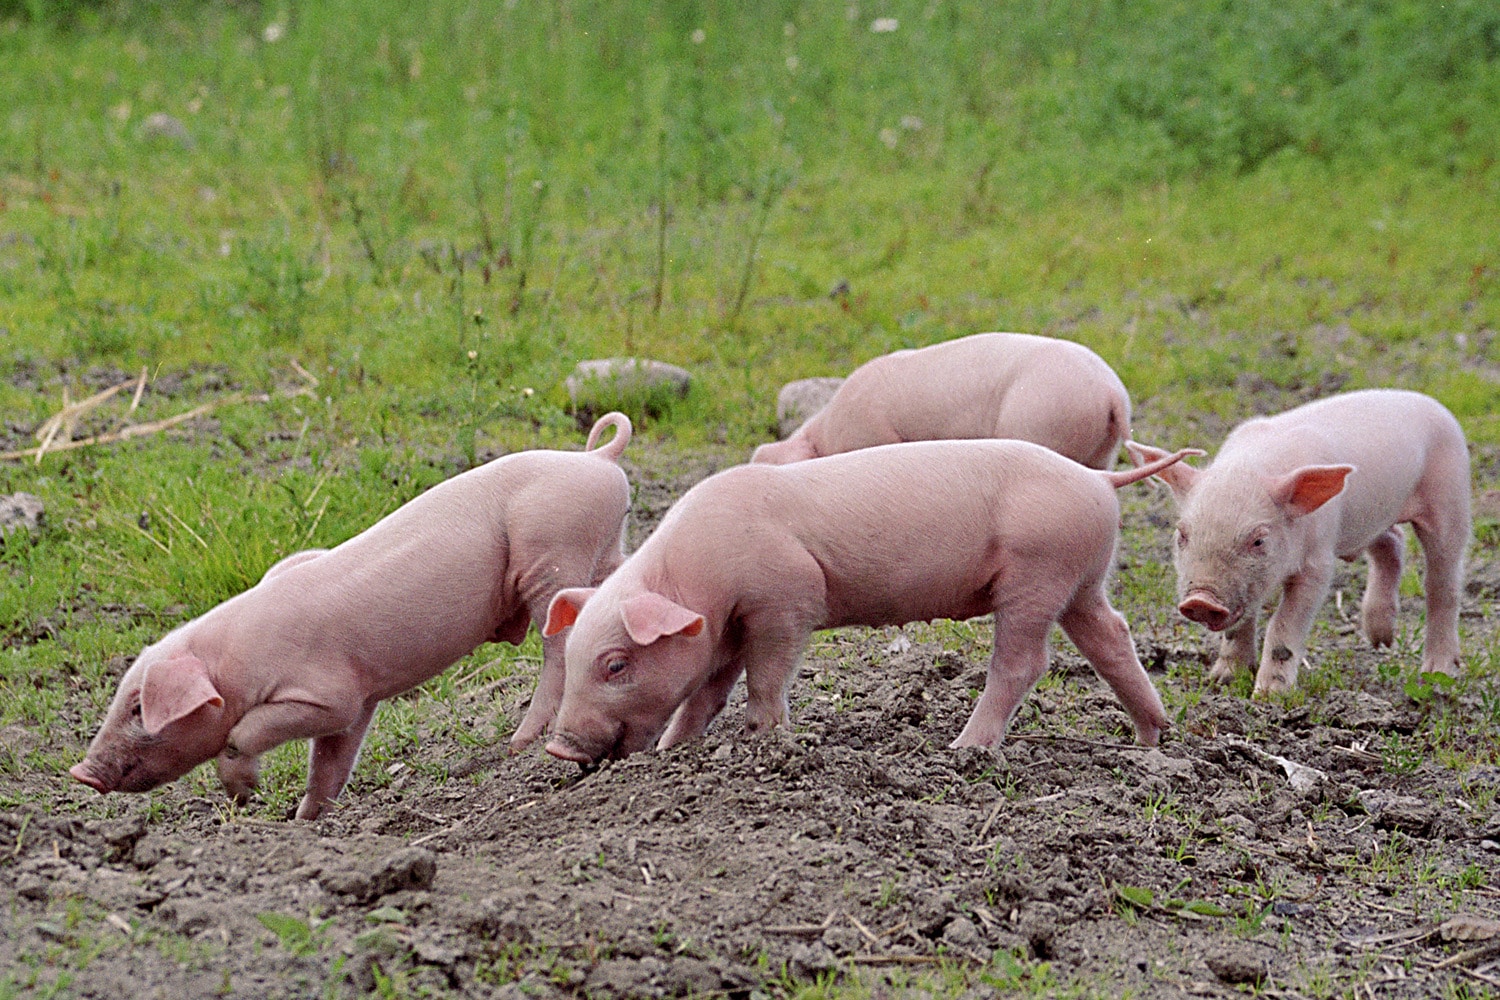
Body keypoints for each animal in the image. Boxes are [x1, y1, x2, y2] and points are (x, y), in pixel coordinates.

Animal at [69, 413, 633, 819]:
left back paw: (520, 744)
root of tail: (598, 457)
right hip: (601, 551)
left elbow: (246, 733)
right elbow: (330, 764)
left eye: (139, 709)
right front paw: (303, 820)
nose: (81, 772)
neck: (234, 665)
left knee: (557, 647)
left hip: (551, 552)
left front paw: (248, 795)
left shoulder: (327, 694)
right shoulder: (360, 702)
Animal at [539, 439, 1200, 766]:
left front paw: (768, 741)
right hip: (1081, 579)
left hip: (1038, 573)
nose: (557, 745)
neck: (698, 580)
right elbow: (707, 689)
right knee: (1112, 635)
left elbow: (768, 675)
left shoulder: (788, 597)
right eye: (571, 658)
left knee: (1024, 662)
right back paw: (1152, 741)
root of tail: (1098, 479)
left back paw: (962, 750)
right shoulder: (725, 628)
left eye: (616, 664)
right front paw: (675, 750)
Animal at [1126, 389, 1471, 696]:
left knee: (1442, 584)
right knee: (1393, 541)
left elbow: (1283, 622)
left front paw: (1269, 696)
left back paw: (1437, 675)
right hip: (1370, 520)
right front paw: (1223, 680)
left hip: (1450, 499)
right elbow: (1241, 622)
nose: (1200, 600)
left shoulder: (1319, 561)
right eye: (1182, 534)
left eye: (1258, 541)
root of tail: (1432, 403)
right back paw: (1379, 640)